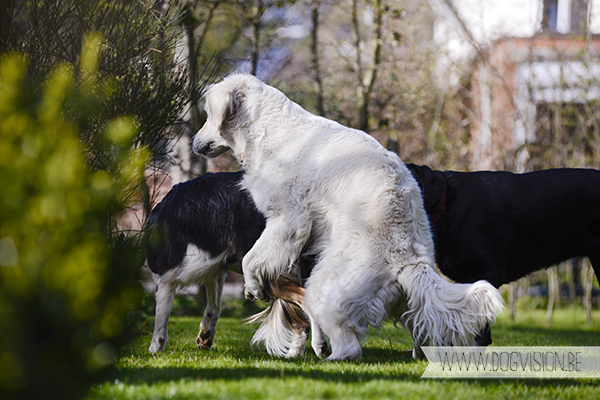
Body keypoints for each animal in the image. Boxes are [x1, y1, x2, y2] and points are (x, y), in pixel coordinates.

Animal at [143, 172, 308, 356]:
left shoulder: (165, 273)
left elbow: (160, 321)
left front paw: (154, 351)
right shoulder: (216, 269)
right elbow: (214, 308)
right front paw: (205, 337)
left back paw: (297, 353)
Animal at [192, 74, 502, 360]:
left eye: (207, 116)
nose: (194, 142)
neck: (269, 130)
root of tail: (409, 258)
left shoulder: (288, 220)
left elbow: (252, 258)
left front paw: (254, 288)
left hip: (324, 288)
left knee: (351, 347)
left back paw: (330, 358)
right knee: (422, 330)